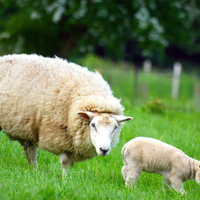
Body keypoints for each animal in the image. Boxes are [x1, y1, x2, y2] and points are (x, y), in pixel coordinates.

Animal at [0, 54, 133, 176]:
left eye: (115, 128)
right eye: (93, 125)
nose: (104, 150)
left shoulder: (71, 144)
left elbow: (70, 164)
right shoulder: (61, 139)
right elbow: (65, 163)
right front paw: (65, 180)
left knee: (31, 151)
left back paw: (34, 171)